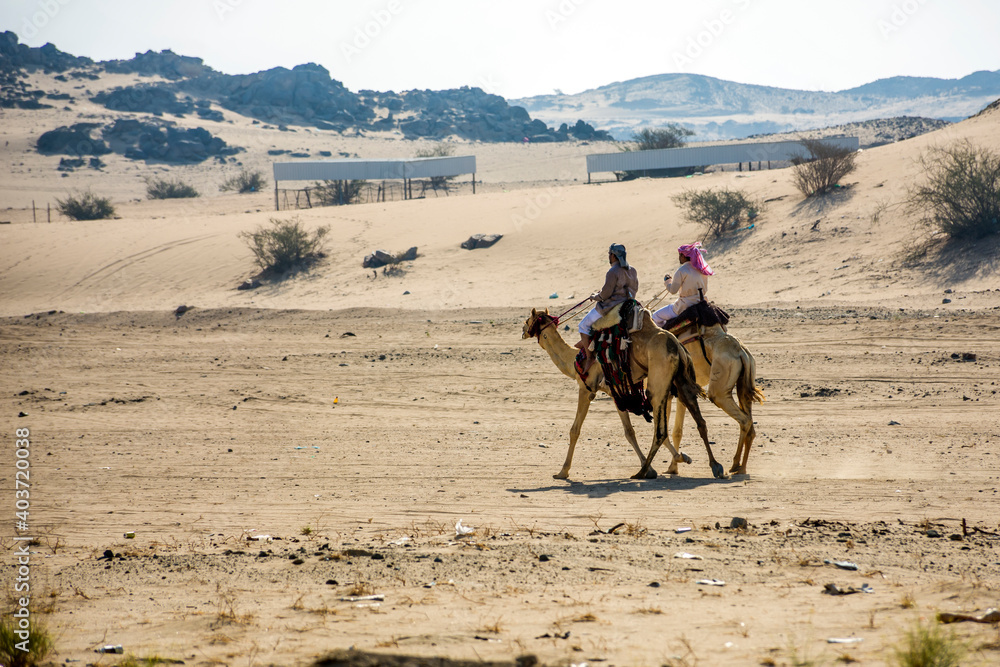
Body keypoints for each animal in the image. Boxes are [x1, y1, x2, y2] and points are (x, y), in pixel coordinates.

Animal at [522, 307, 726, 481]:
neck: (573, 361)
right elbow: (629, 432)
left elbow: (575, 430)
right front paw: (681, 457)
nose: (523, 331)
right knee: (699, 422)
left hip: (658, 384)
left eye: (527, 319)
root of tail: (677, 346)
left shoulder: (587, 389)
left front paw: (562, 472)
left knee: (660, 430)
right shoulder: (616, 393)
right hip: (681, 382)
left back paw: (642, 473)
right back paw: (716, 466)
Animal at [667, 321, 765, 475]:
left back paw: (735, 465)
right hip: (745, 380)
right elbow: (677, 431)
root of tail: (741, 351)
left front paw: (673, 466)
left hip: (719, 388)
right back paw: (741, 467)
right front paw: (673, 467)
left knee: (744, 420)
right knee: (750, 424)